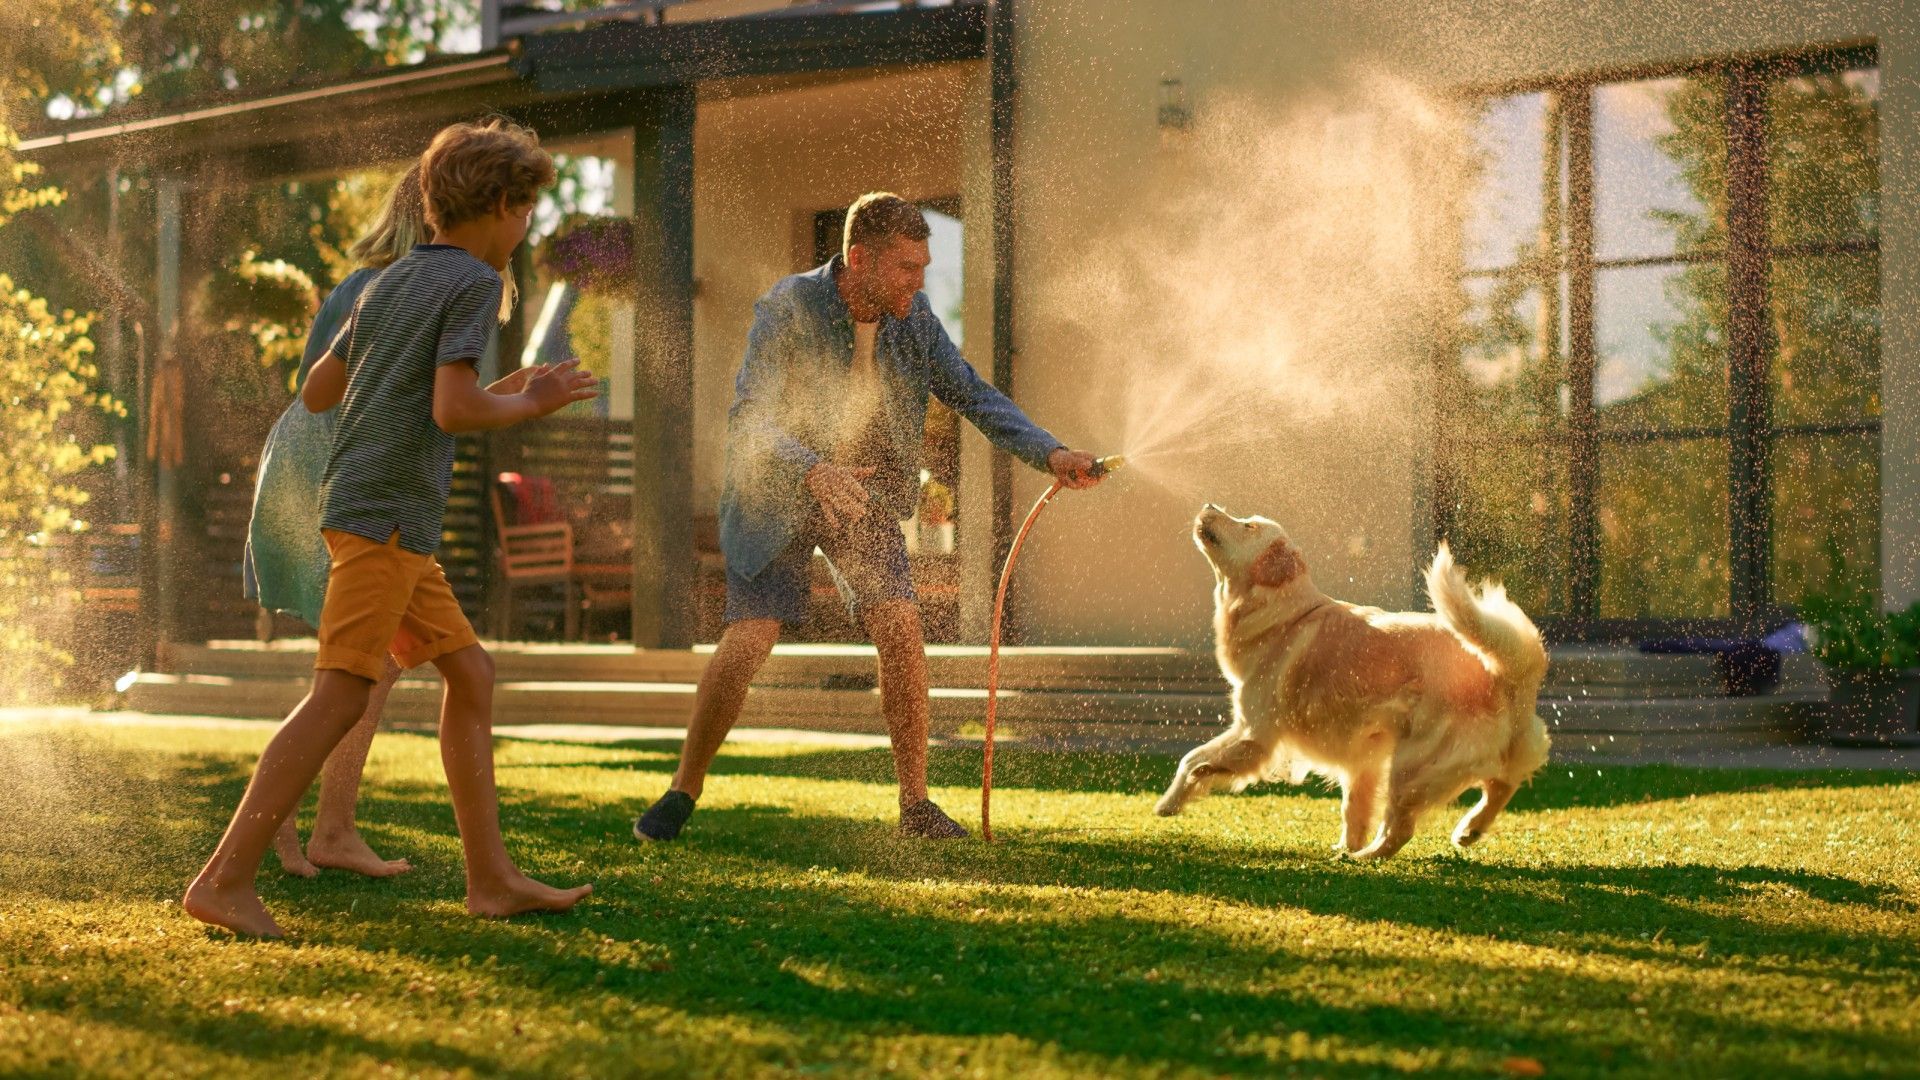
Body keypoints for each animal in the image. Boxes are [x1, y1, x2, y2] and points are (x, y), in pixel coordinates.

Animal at [1152, 503, 1543, 857]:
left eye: (1248, 525)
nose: (1208, 505)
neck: (1283, 614)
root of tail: (1504, 673)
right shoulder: (1358, 758)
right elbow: (1189, 757)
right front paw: (1169, 802)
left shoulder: (1257, 733)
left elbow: (1201, 762)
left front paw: (1193, 783)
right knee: (1501, 784)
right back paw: (1468, 829)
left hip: (1411, 765)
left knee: (1401, 828)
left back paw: (1367, 856)